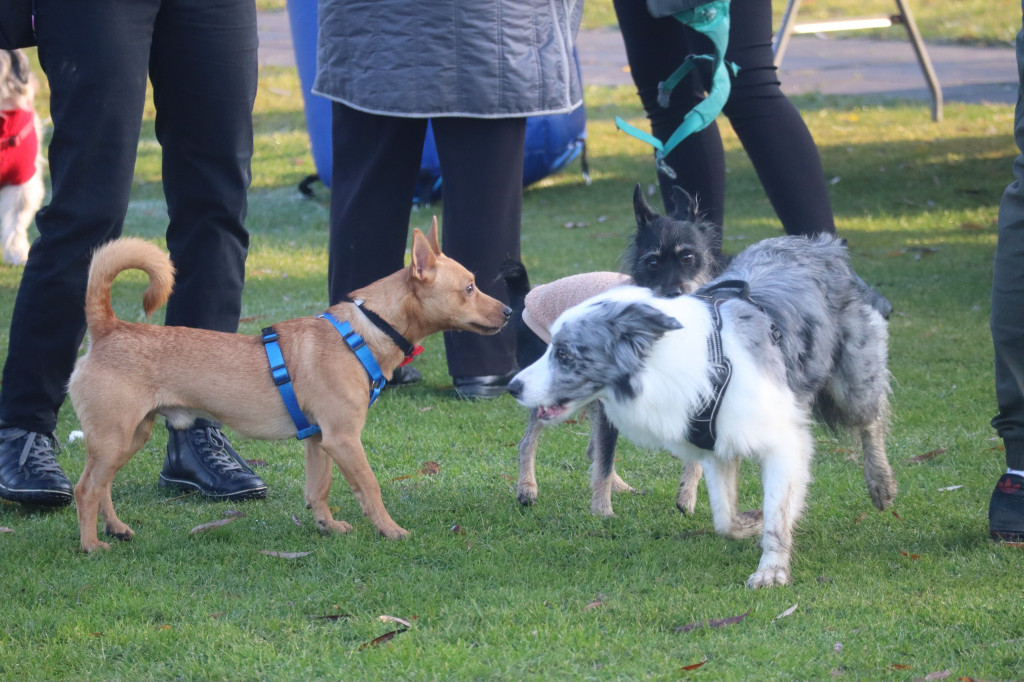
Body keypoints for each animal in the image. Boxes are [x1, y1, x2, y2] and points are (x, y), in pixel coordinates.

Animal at [67, 223, 507, 552]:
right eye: (469, 288)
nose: (507, 311)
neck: (366, 331)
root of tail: (108, 327)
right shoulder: (345, 438)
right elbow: (369, 486)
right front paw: (390, 529)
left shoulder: (320, 440)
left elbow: (319, 488)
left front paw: (327, 525)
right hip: (114, 437)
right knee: (85, 489)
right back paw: (91, 545)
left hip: (128, 437)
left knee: (102, 486)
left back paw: (115, 528)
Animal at [512, 233, 897, 585]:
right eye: (553, 349)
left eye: (565, 354)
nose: (512, 386)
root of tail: (823, 243)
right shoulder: (715, 444)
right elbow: (724, 518)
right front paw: (750, 523)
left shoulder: (786, 442)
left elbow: (777, 510)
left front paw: (771, 570)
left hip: (853, 386)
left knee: (872, 420)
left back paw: (881, 484)